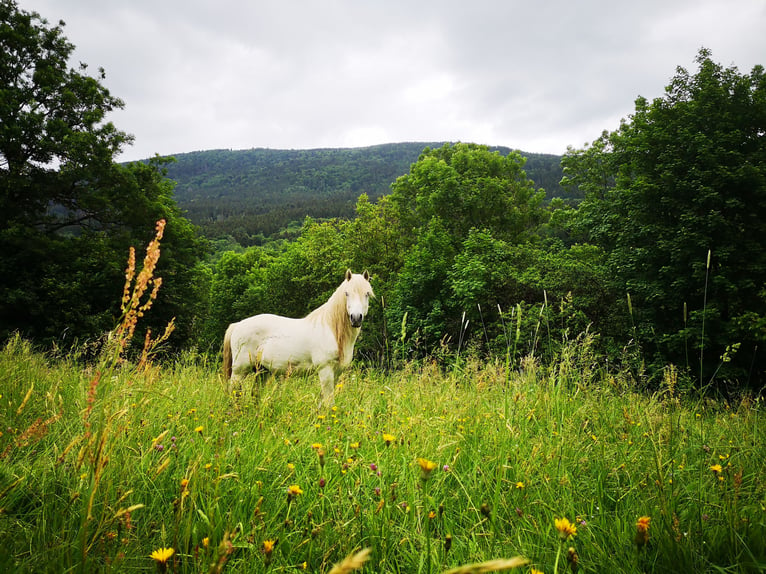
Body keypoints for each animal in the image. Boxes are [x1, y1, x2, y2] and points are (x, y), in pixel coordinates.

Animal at [222, 272, 376, 408]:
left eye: (367, 294)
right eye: (346, 293)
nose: (356, 318)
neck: (331, 329)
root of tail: (237, 325)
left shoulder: (336, 373)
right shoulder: (325, 370)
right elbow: (328, 402)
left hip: (262, 371)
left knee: (255, 394)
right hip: (239, 371)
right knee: (234, 392)